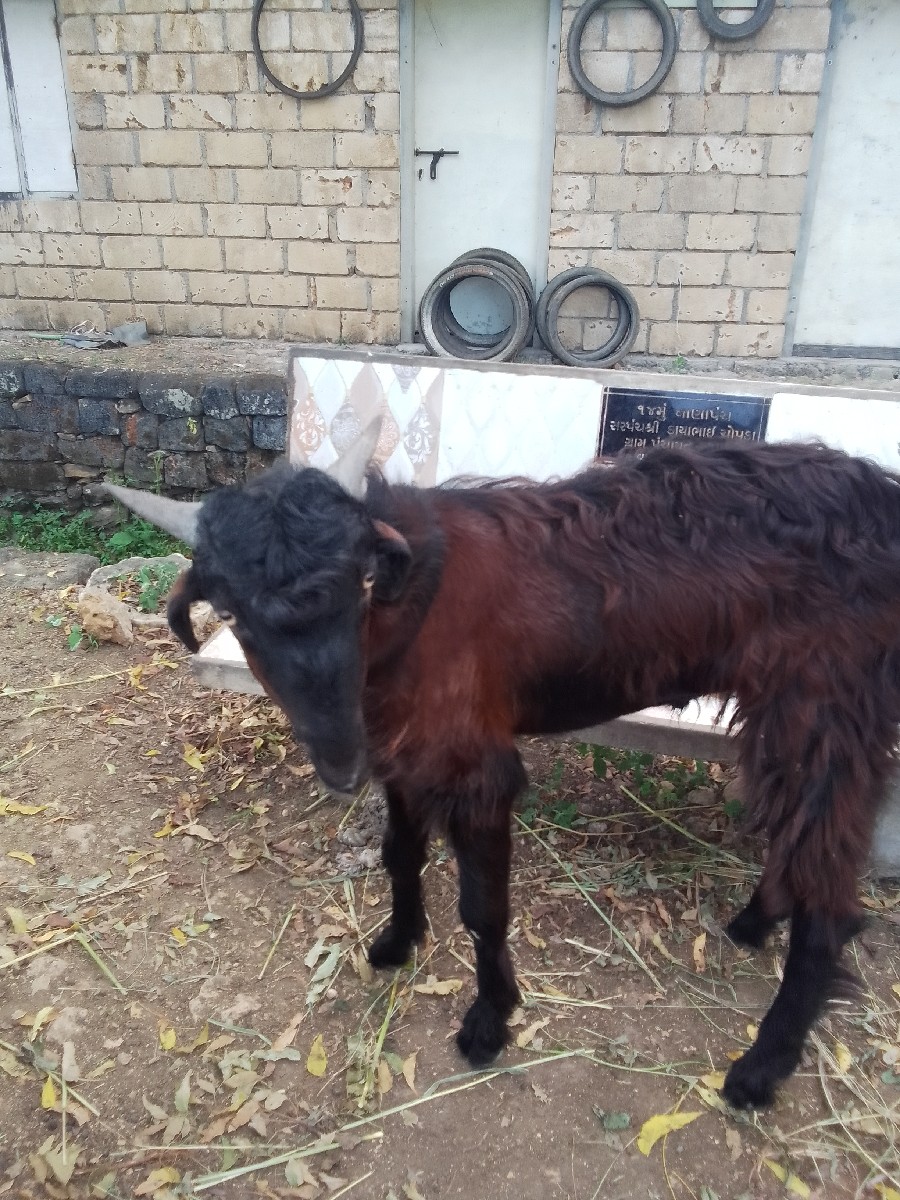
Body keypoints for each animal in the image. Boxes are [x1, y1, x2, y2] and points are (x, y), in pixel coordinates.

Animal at [107, 422, 900, 1110]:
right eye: (231, 612)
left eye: (359, 584)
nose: (340, 762)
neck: (415, 600)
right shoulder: (405, 752)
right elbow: (400, 853)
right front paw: (396, 941)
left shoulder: (475, 765)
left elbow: (483, 908)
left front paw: (489, 1021)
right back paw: (755, 922)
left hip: (827, 707)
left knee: (831, 902)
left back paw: (761, 1067)